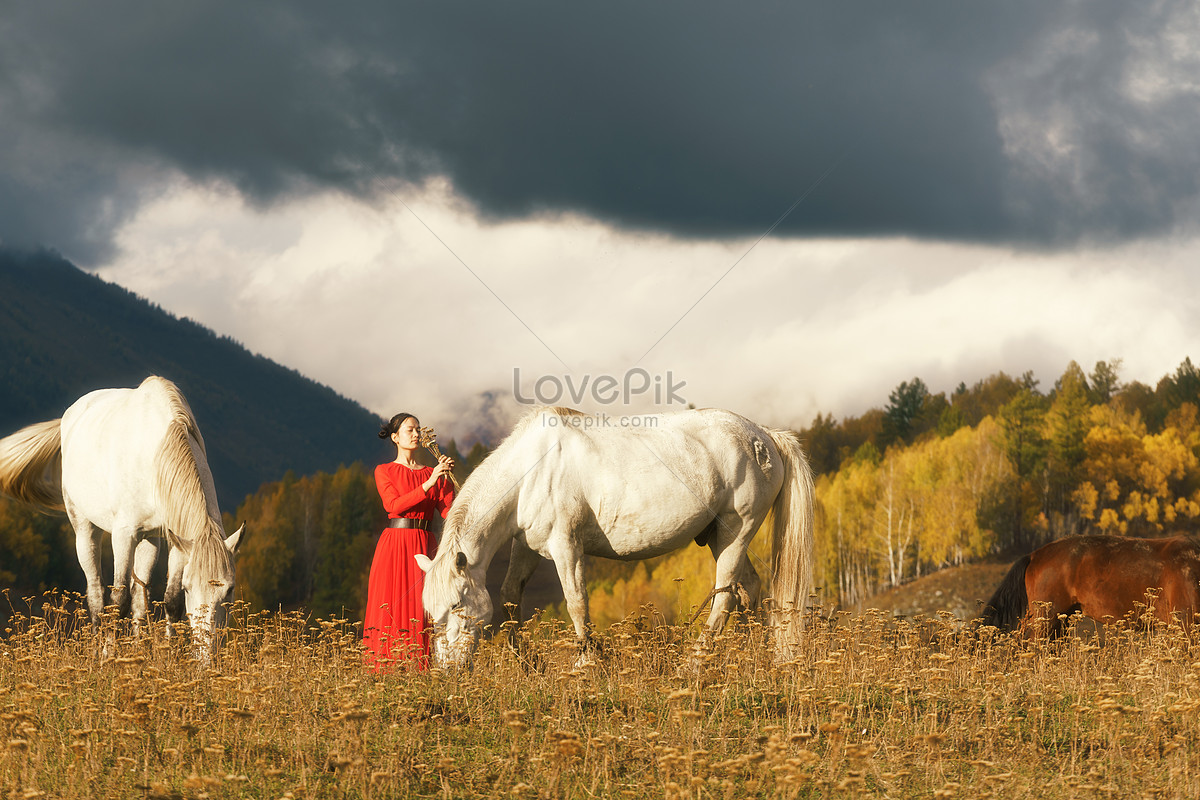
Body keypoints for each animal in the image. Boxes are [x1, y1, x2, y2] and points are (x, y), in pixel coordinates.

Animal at [0, 376, 244, 657]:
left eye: (230, 589)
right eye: (189, 588)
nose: (208, 653)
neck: (156, 452)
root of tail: (70, 415)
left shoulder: (177, 538)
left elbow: (170, 601)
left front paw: (167, 655)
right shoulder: (123, 535)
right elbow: (119, 599)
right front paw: (109, 656)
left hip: (149, 540)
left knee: (139, 595)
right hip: (84, 527)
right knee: (97, 593)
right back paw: (97, 651)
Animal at [417, 407, 820, 662]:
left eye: (457, 605)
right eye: (431, 611)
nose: (448, 667)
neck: (532, 469)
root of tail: (764, 435)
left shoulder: (567, 548)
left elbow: (577, 604)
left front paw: (587, 664)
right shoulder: (526, 548)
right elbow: (510, 596)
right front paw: (526, 661)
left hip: (735, 531)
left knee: (725, 596)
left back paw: (696, 662)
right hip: (721, 538)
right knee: (747, 588)